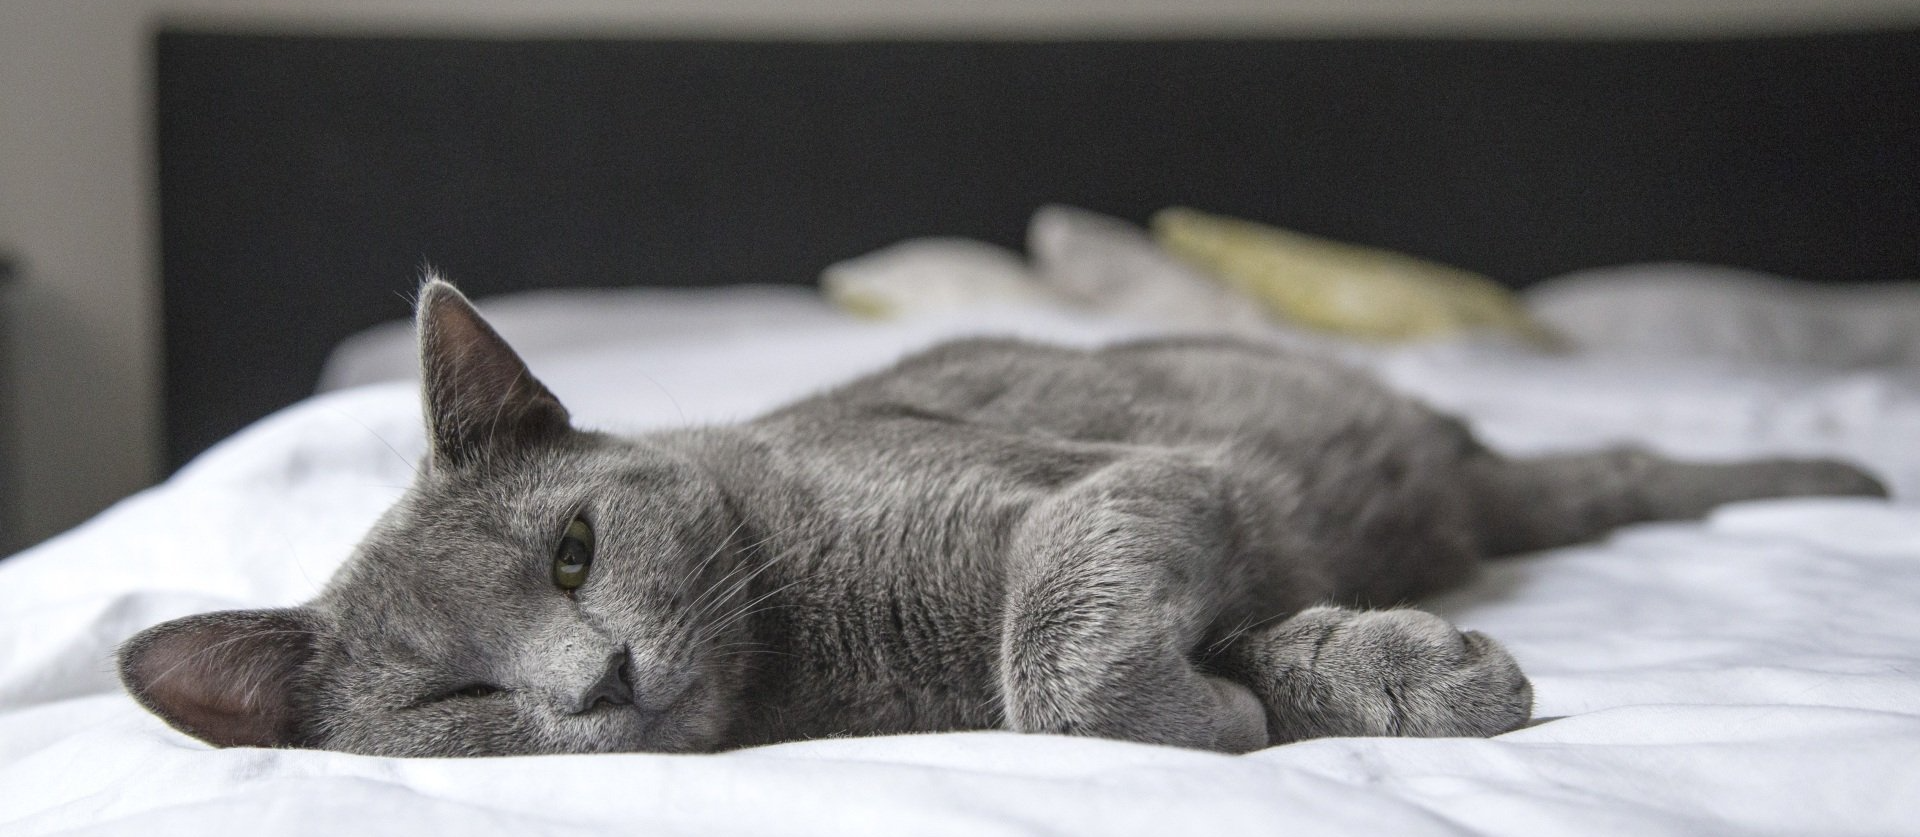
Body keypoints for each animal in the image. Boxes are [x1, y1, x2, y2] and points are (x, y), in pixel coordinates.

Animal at [112, 280, 1881, 760]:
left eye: (572, 552)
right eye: (454, 698)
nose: (596, 677)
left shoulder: (1105, 485)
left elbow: (1054, 653)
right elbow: (1120, 669)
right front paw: (1353, 680)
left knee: (1626, 467)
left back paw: (1848, 480)